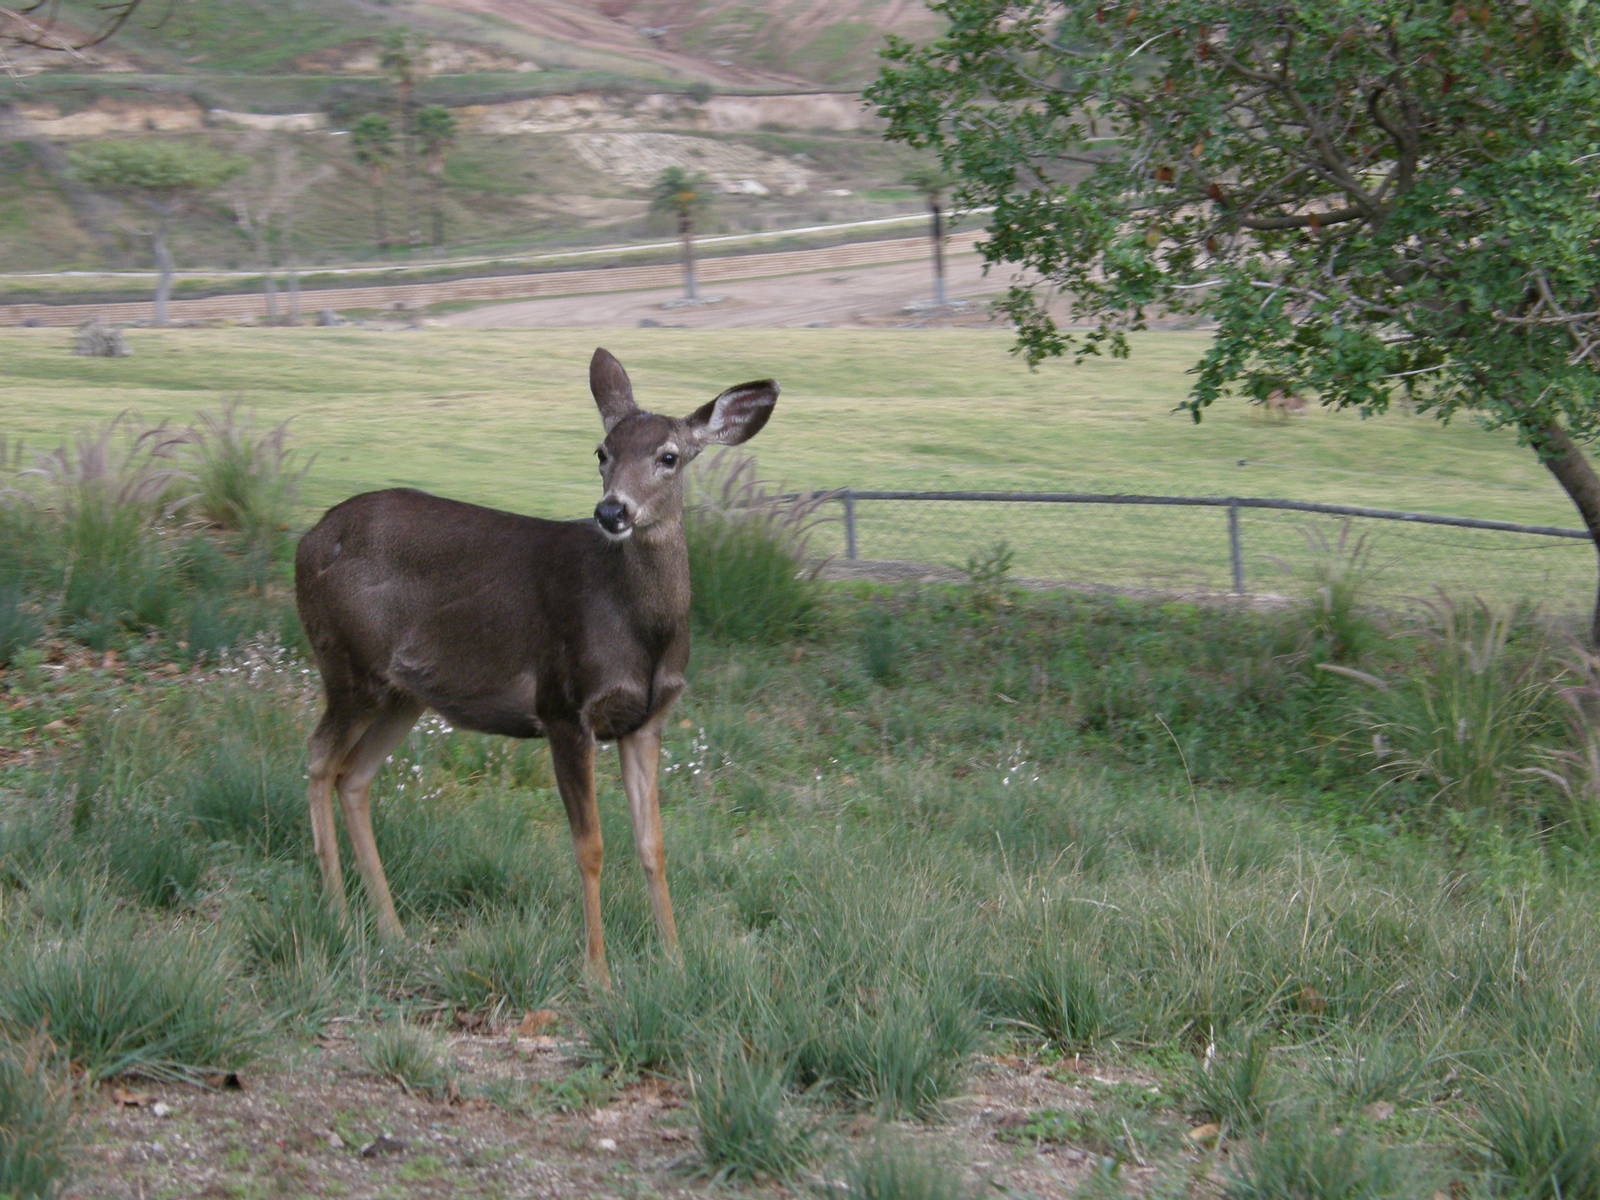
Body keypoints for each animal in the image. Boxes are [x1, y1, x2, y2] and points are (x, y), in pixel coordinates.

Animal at [294, 348, 778, 986]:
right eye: (601, 451)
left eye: (669, 456)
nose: (612, 510)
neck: (642, 634)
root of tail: (306, 540)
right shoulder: (564, 705)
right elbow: (590, 846)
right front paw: (598, 972)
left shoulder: (647, 719)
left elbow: (653, 845)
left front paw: (674, 960)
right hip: (350, 664)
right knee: (319, 758)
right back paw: (339, 915)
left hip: (405, 693)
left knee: (354, 776)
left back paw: (392, 931)